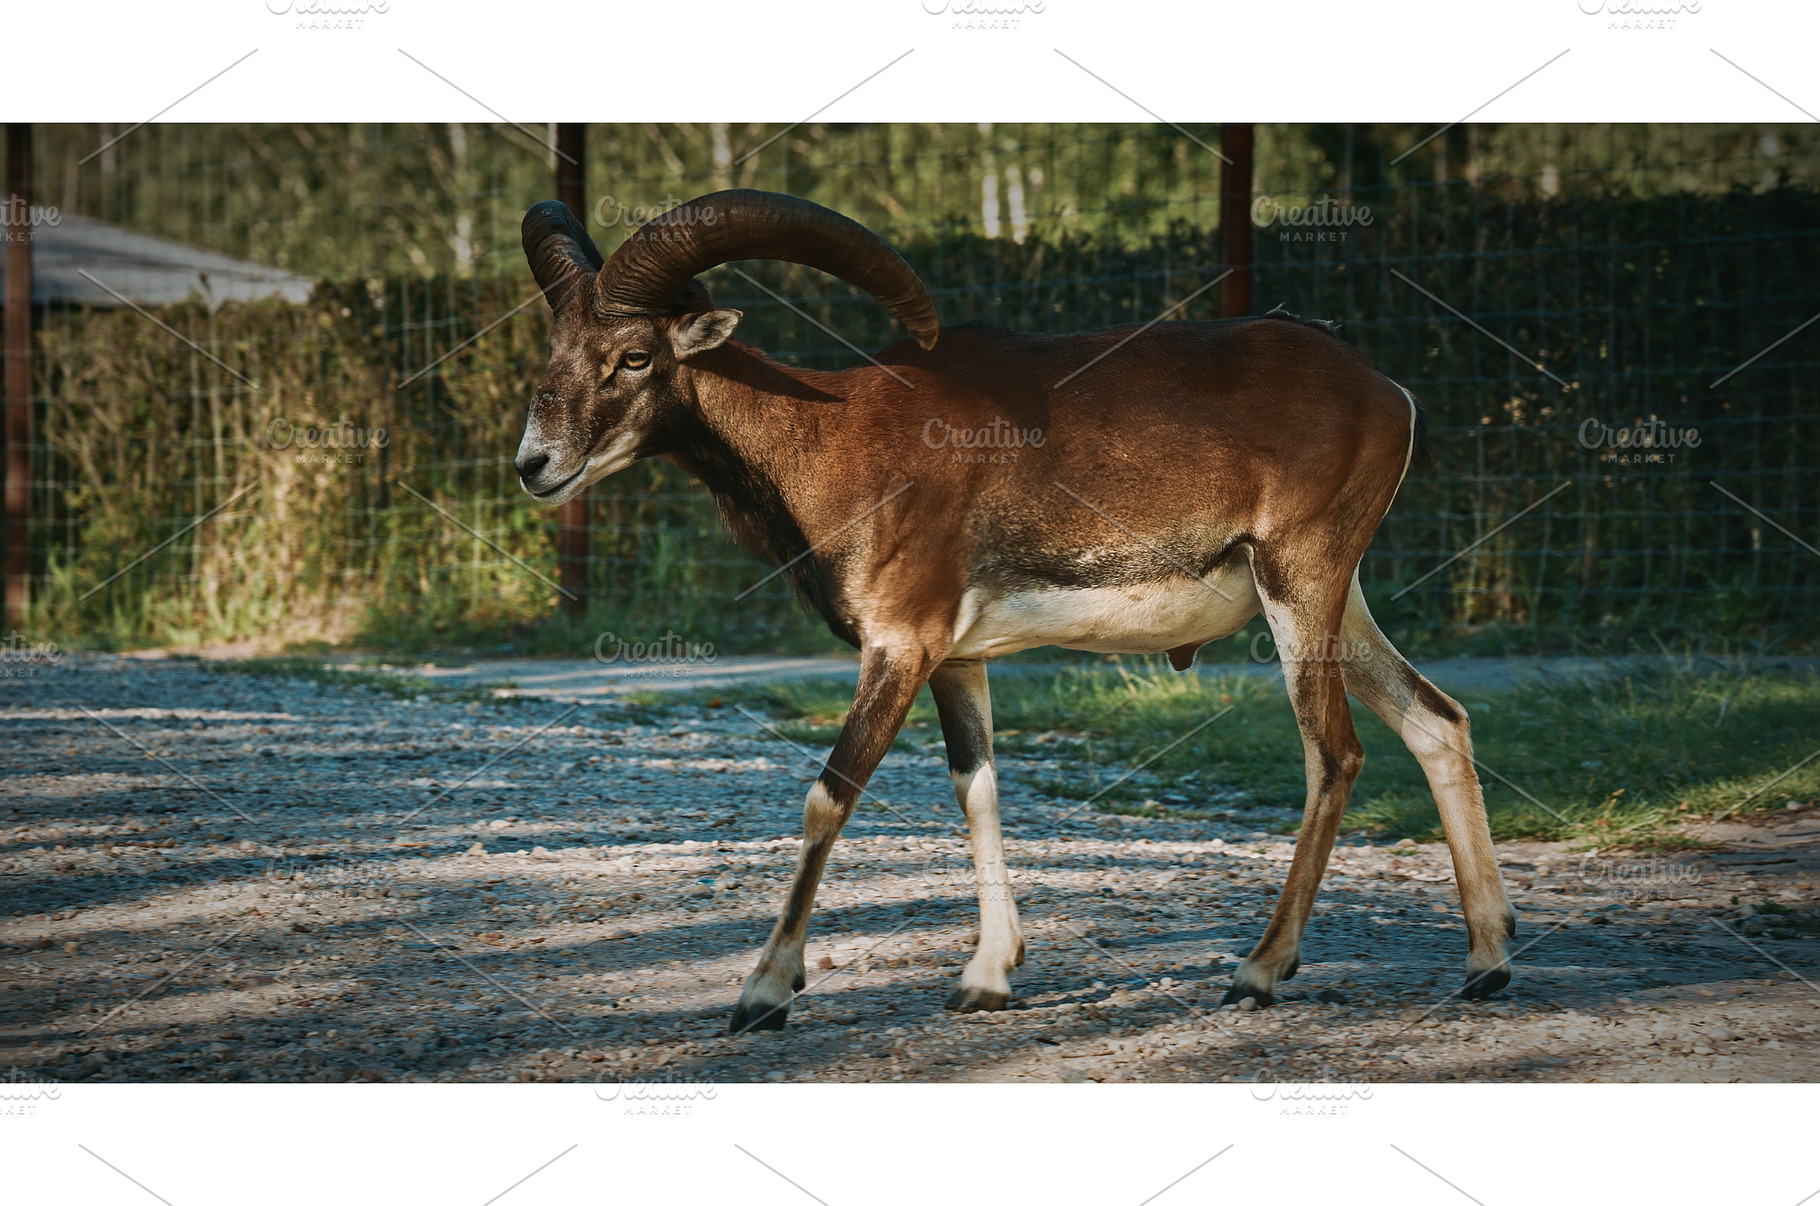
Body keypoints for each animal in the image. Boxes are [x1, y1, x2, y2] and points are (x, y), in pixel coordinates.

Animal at [514, 190, 1516, 1031]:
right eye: (552, 356)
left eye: (634, 356)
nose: (535, 465)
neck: (831, 440)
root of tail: (1390, 394)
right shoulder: (958, 657)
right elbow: (978, 788)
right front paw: (987, 977)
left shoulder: (899, 645)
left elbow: (829, 795)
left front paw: (762, 993)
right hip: (1339, 598)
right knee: (1436, 719)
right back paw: (1487, 961)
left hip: (1301, 579)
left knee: (1333, 752)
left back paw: (1261, 970)